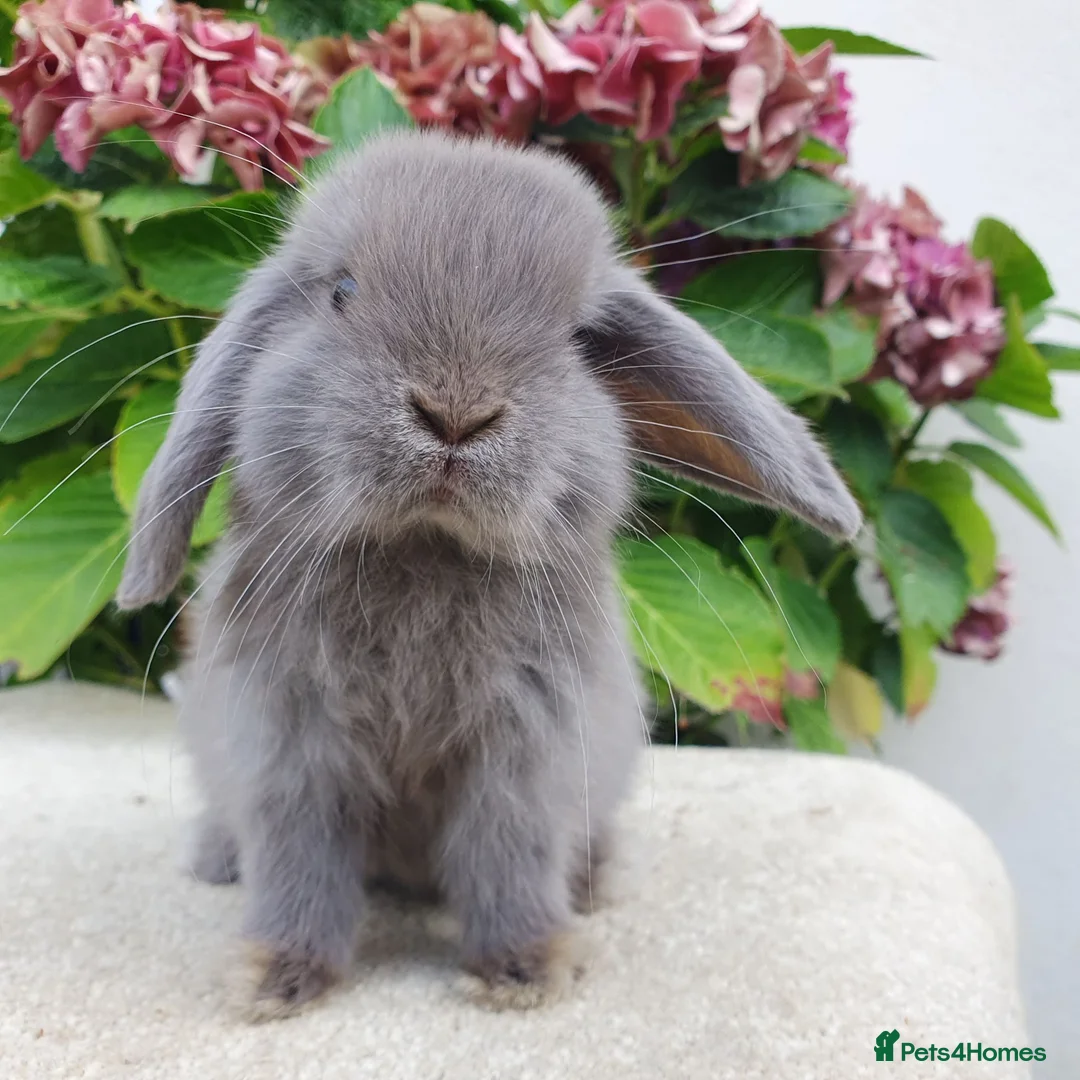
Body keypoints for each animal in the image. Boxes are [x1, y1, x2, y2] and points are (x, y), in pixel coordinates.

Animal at [116, 129, 860, 1021]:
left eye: (583, 340)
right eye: (341, 292)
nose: (456, 412)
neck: (425, 550)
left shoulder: (526, 747)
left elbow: (507, 852)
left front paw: (524, 971)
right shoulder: (291, 743)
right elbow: (300, 859)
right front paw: (275, 979)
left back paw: (599, 880)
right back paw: (215, 858)